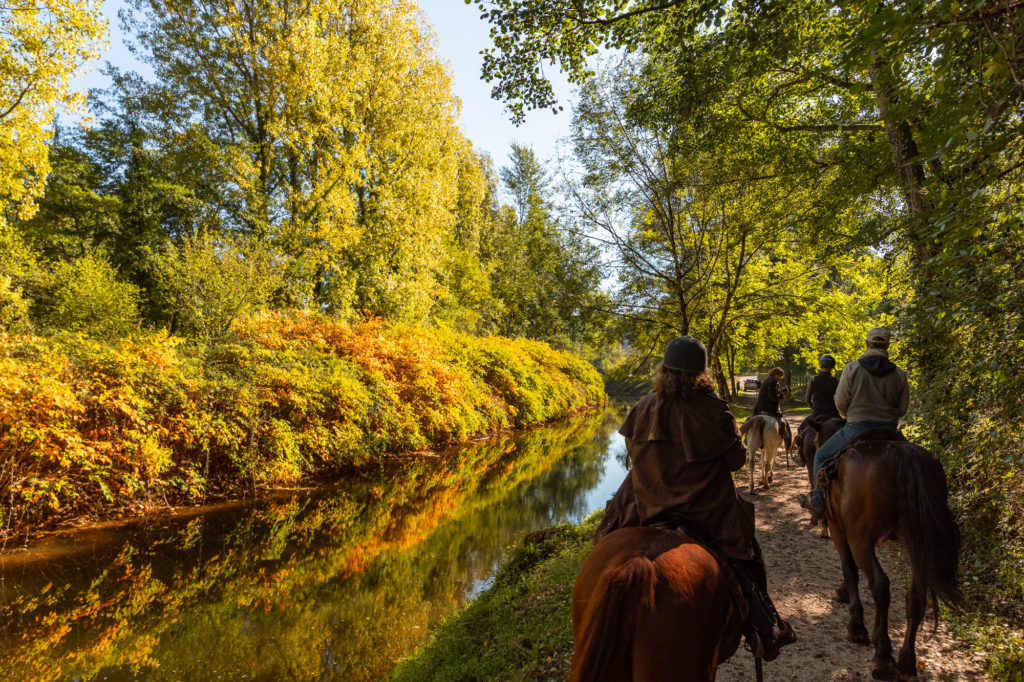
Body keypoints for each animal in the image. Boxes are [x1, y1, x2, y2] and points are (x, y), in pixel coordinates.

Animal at [819, 432, 954, 675]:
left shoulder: (839, 530)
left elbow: (849, 570)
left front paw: (856, 626)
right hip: (917, 545)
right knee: (916, 596)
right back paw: (907, 661)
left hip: (860, 541)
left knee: (879, 584)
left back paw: (882, 654)